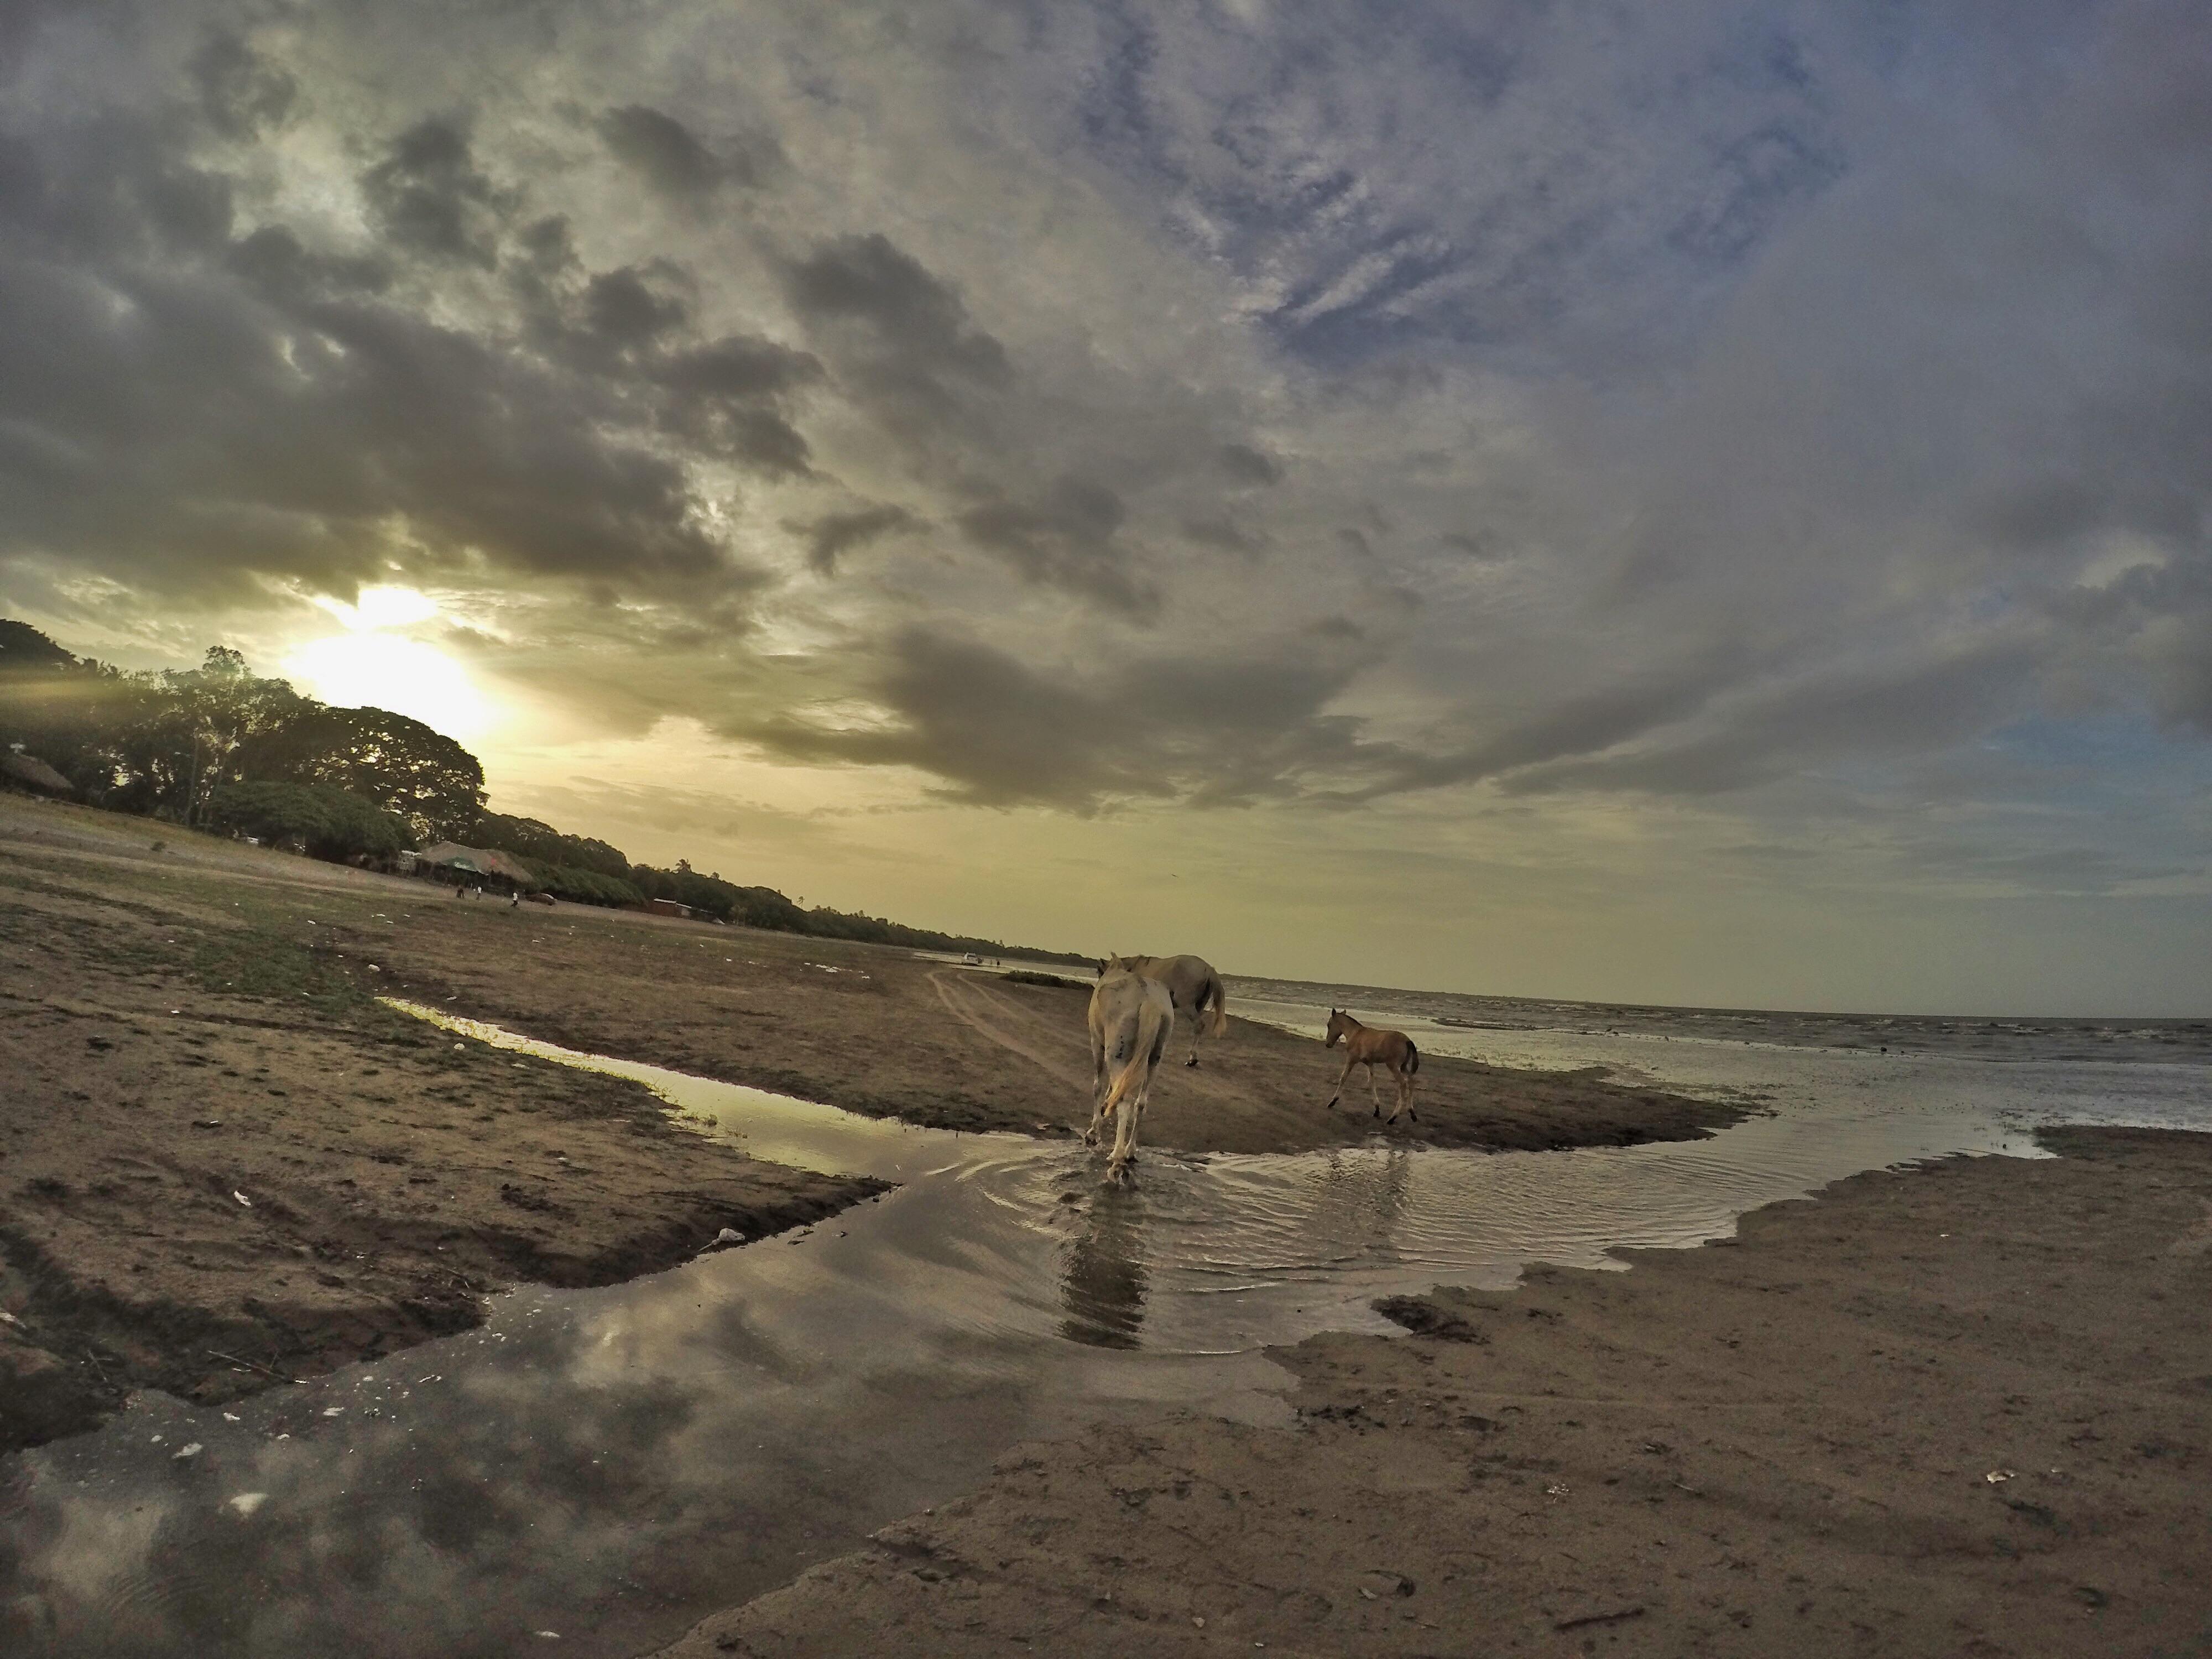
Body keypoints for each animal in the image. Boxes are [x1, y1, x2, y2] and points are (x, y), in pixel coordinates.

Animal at [1084, 969, 1177, 1186]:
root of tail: (1149, 1001)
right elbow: (1113, 1090)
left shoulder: (1097, 1044)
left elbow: (1098, 1087)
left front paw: (1094, 1133)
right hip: (1154, 1058)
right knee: (1141, 1102)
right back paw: (1130, 1151)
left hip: (1115, 1054)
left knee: (1125, 1102)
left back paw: (1117, 1159)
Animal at [1318, 1009, 1425, 1124]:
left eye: (1329, 1025)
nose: (1328, 1044)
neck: (1355, 1034)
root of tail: (1407, 1040)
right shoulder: (1369, 1063)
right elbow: (1372, 1082)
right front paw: (1377, 1110)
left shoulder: (1351, 1060)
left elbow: (1343, 1077)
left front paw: (1332, 1102)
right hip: (1403, 1066)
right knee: (1411, 1081)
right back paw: (1412, 1114)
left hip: (1393, 1066)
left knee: (1403, 1084)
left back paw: (1393, 1118)